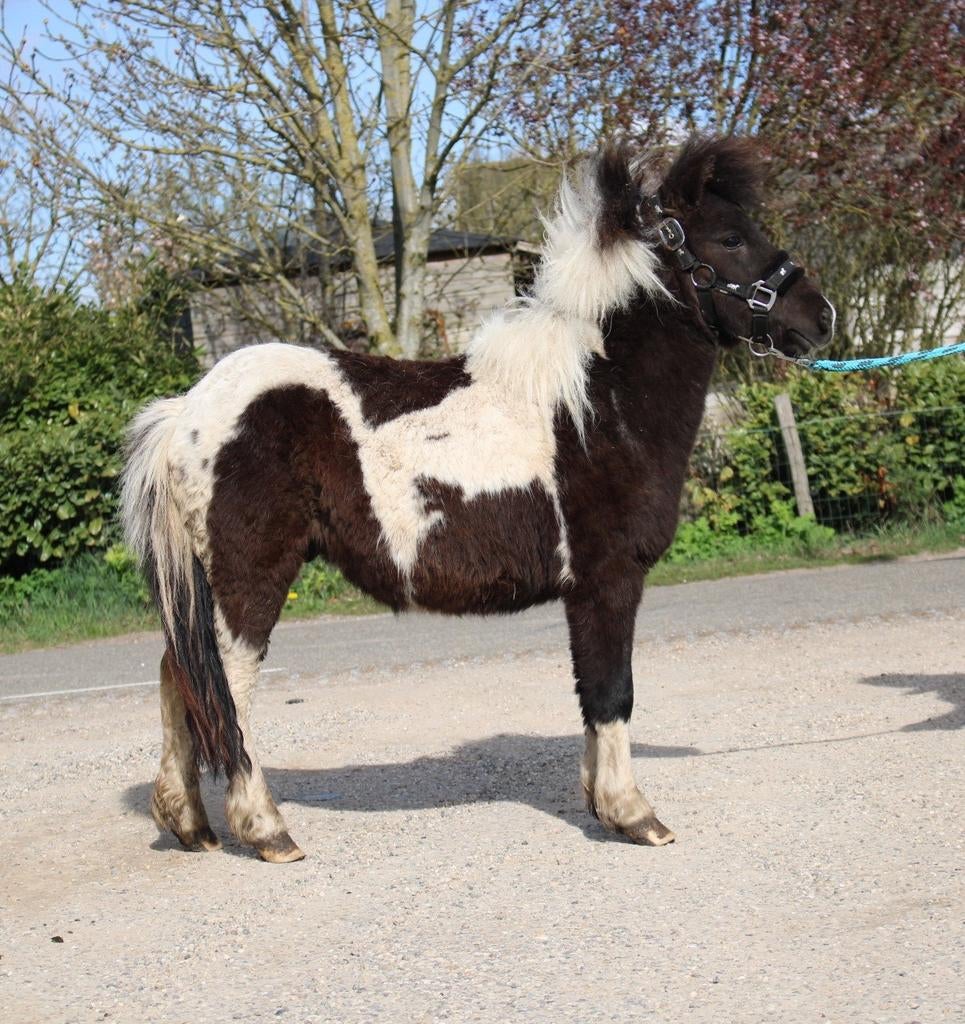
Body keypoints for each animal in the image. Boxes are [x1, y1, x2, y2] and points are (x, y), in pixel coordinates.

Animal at [121, 135, 834, 863]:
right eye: (731, 238)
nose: (821, 317)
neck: (595, 401)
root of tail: (187, 412)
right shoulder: (610, 580)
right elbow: (614, 692)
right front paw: (633, 814)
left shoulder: (583, 591)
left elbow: (589, 693)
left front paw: (598, 803)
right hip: (248, 579)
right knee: (226, 688)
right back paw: (265, 829)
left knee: (180, 676)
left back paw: (187, 821)